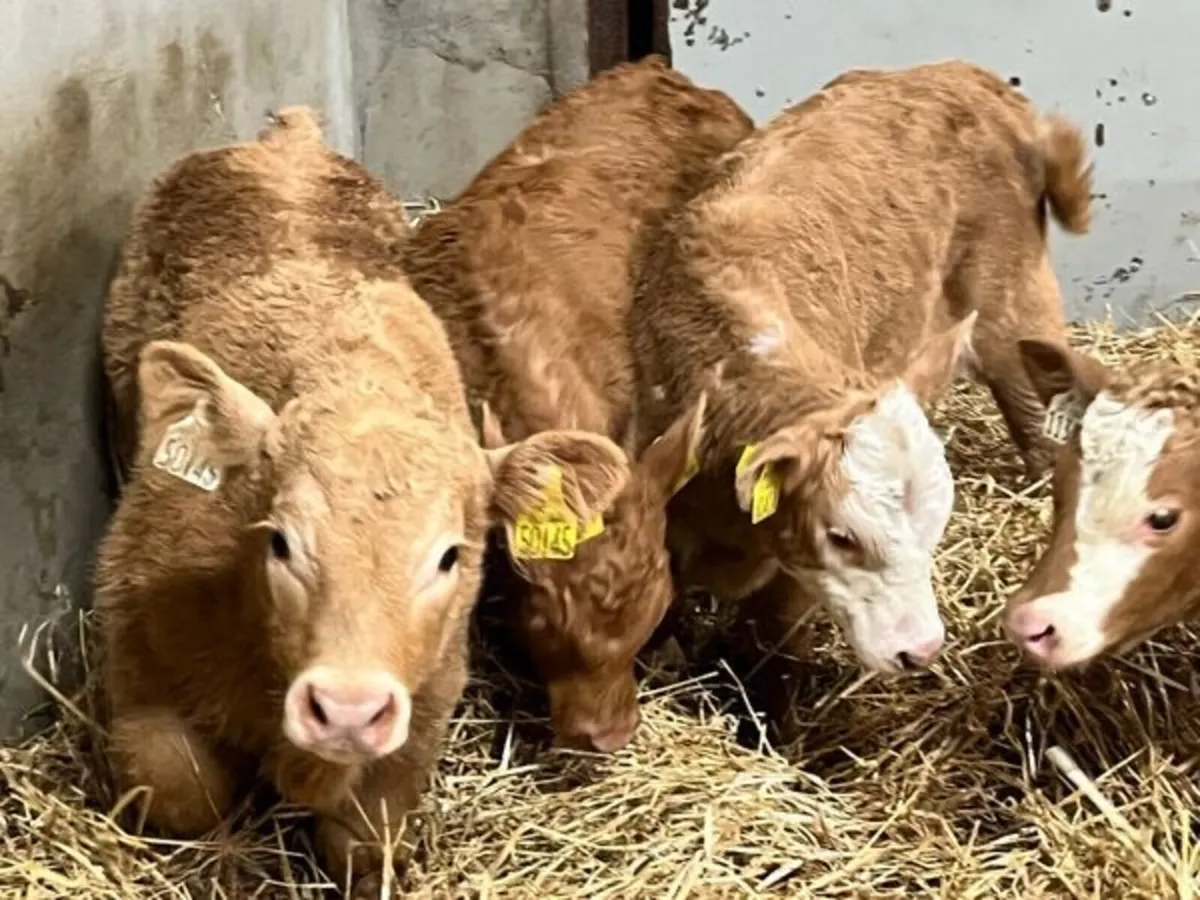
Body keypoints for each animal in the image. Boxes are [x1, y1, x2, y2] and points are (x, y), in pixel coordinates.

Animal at [95, 107, 628, 895]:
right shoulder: (138, 661)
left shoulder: (417, 726)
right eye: (280, 540)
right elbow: (183, 792)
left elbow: (364, 844)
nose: (346, 709)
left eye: (449, 557)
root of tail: (289, 140)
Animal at [628, 60, 1093, 677]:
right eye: (842, 536)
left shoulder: (788, 585)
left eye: (937, 525)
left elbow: (774, 643)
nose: (920, 650)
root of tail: (963, 74)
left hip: (1016, 305)